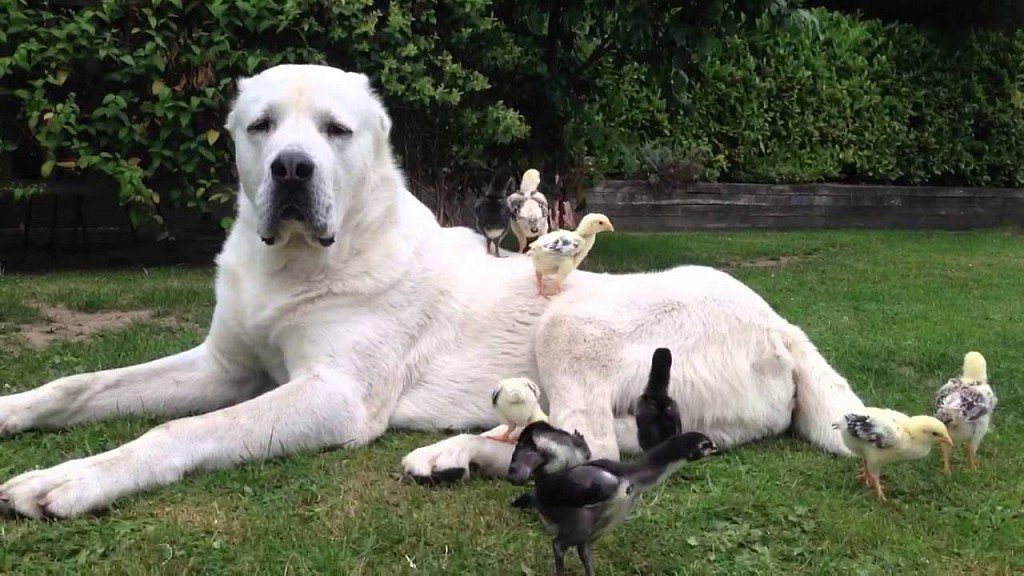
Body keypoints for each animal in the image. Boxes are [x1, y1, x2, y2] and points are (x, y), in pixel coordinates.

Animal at [0, 65, 864, 518]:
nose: (291, 170)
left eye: (336, 131)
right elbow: (79, 385)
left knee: (596, 442)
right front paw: (14, 411)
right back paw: (461, 453)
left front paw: (72, 479)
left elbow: (177, 431)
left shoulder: (334, 397)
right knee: (594, 442)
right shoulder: (224, 368)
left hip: (573, 320)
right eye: (261, 126)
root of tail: (783, 326)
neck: (301, 262)